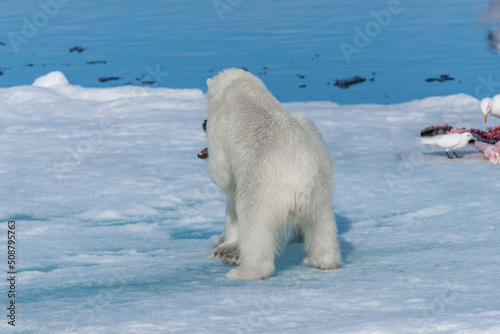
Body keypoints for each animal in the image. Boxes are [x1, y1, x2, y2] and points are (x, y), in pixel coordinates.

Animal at [203, 68, 340, 280]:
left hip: (263, 192)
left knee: (255, 226)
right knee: (322, 226)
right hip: (320, 192)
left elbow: (222, 171)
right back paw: (323, 261)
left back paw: (243, 271)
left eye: (207, 122)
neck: (241, 87)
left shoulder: (220, 126)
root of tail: (301, 184)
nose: (203, 123)